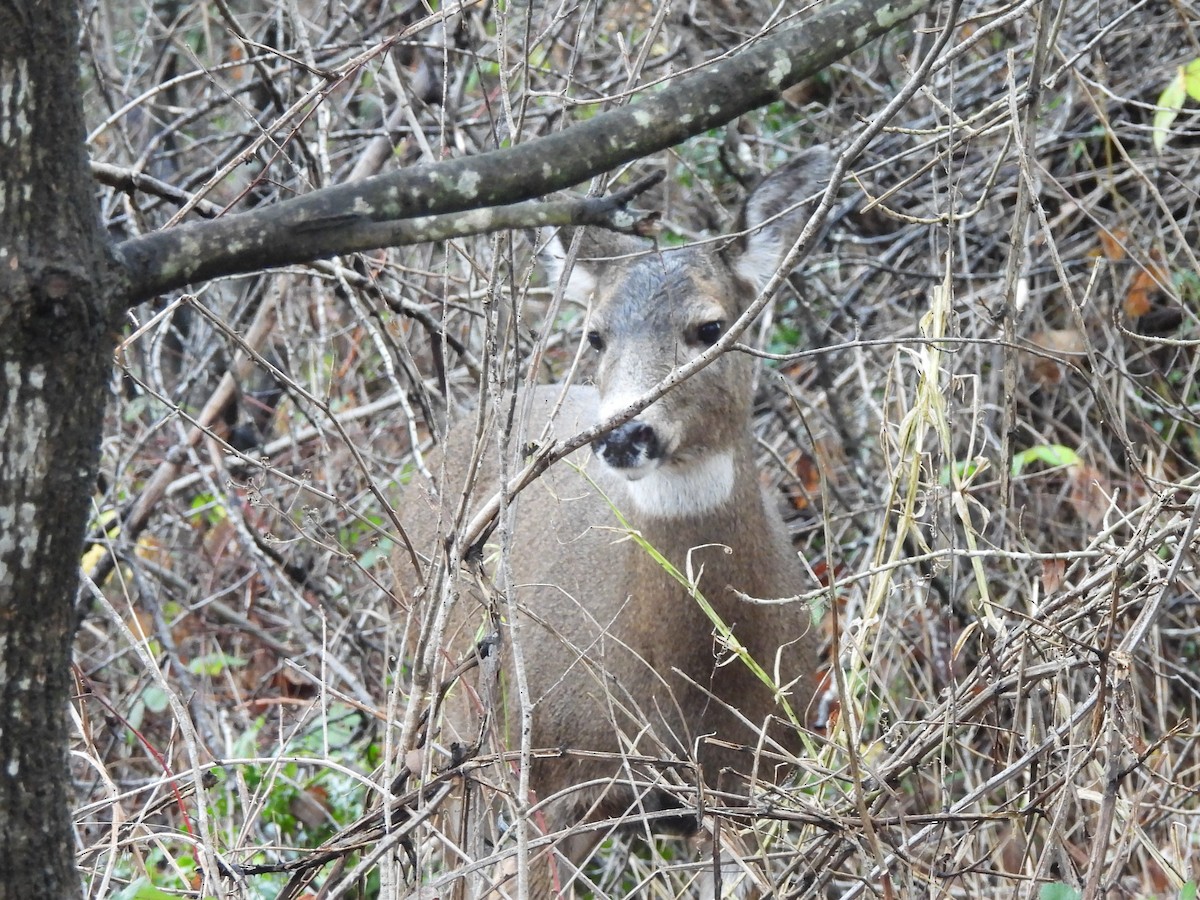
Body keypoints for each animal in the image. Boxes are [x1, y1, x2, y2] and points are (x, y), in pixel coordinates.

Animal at [397, 147, 830, 899]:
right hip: (462, 728)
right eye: (595, 335)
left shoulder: (757, 781)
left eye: (710, 328)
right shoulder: (553, 782)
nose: (625, 434)